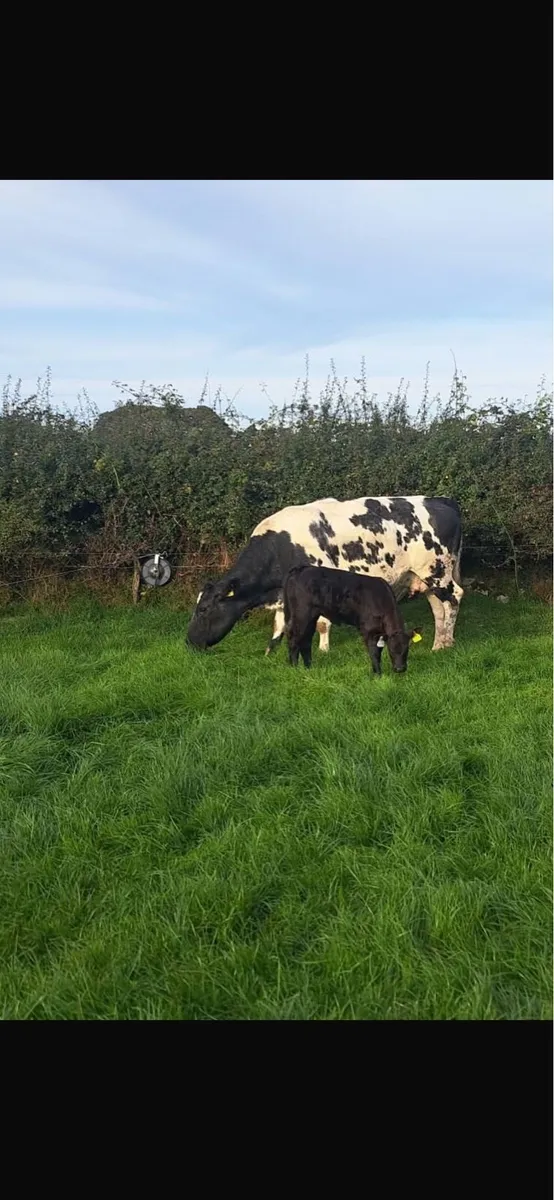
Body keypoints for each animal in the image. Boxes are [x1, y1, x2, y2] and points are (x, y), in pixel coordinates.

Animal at [186, 495, 463, 653]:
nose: (189, 642)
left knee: (454, 599)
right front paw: (270, 651)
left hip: (438, 570)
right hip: (425, 576)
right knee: (438, 607)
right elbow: (280, 624)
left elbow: (320, 623)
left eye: (203, 610)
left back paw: (447, 643)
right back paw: (438, 643)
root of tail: (440, 499)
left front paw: (322, 650)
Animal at [284, 565, 423, 672]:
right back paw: (294, 668)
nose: (400, 669)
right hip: (301, 614)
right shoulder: (368, 631)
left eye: (407, 649)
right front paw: (377, 674)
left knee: (306, 640)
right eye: (391, 650)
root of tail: (301, 569)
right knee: (294, 638)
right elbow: (375, 652)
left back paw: (308, 667)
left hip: (312, 616)